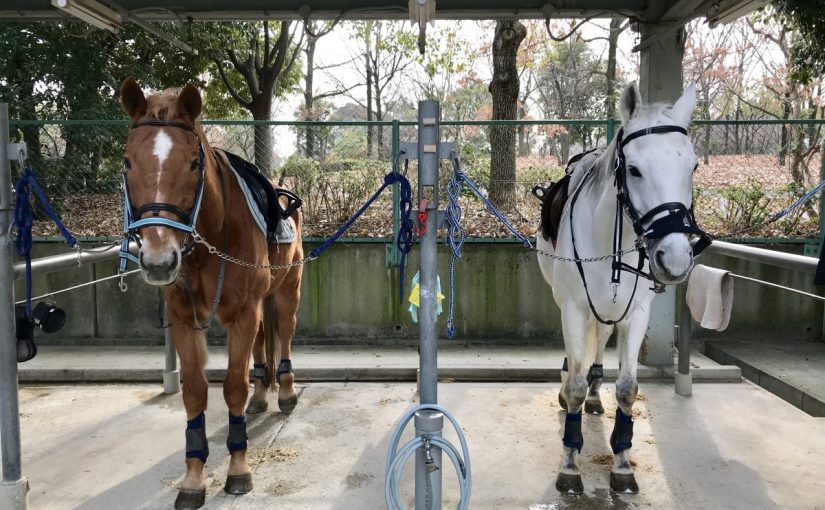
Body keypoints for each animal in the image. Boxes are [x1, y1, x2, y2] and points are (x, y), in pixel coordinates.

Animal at [119, 77, 304, 509]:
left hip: (287, 291)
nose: (158, 260)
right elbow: (195, 392)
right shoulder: (185, 318)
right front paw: (193, 477)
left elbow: (232, 386)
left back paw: (285, 393)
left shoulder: (244, 312)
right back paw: (261, 396)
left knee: (285, 335)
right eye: (128, 162)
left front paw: (238, 469)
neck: (208, 241)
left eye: (193, 163)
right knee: (261, 343)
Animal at [536, 81, 709, 495]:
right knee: (579, 358)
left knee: (600, 340)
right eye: (634, 169)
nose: (674, 258)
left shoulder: (636, 313)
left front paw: (622, 463)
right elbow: (576, 383)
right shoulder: (574, 308)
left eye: (693, 166)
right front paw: (570, 463)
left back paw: (597, 393)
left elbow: (628, 388)